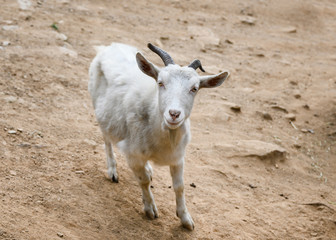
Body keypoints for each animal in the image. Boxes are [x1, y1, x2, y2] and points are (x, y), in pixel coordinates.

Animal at [88, 43, 230, 231]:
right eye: (160, 83)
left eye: (194, 88)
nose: (174, 114)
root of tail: (109, 46)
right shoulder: (133, 154)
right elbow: (143, 181)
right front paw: (150, 209)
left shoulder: (178, 157)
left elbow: (179, 186)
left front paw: (185, 219)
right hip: (101, 110)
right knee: (107, 139)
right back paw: (112, 170)